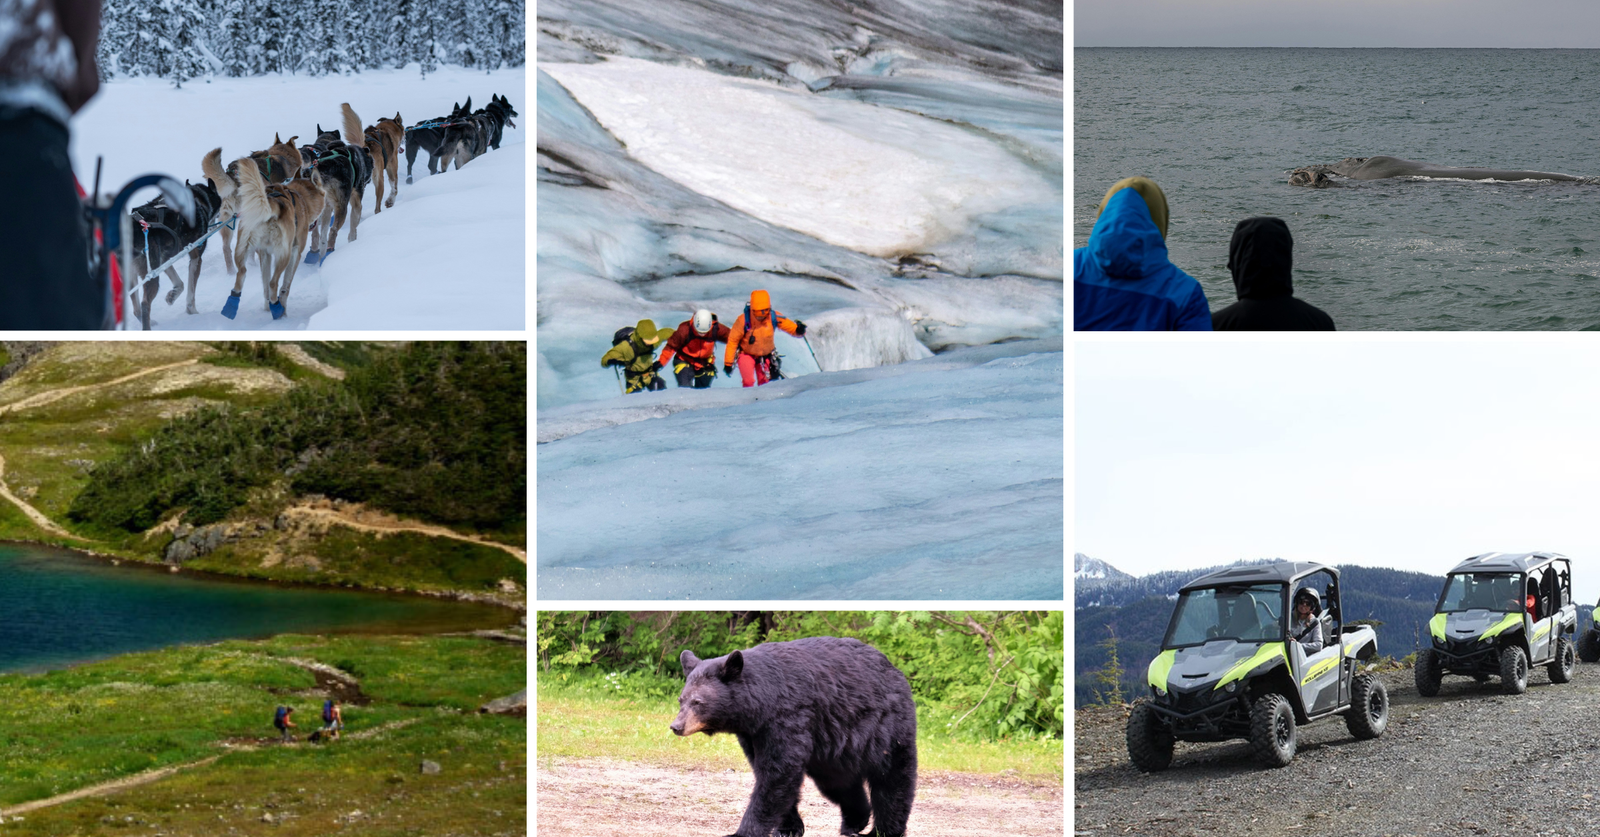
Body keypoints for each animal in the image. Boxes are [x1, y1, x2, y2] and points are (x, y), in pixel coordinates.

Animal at [668, 640, 915, 837]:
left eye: (698, 702)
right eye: (681, 699)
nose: (676, 726)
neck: (761, 703)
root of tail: (895, 670)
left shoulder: (787, 717)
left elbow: (778, 772)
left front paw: (742, 832)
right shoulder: (753, 733)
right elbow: (769, 772)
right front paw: (788, 828)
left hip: (886, 727)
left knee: (892, 779)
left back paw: (884, 830)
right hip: (833, 750)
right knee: (838, 782)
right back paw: (855, 821)